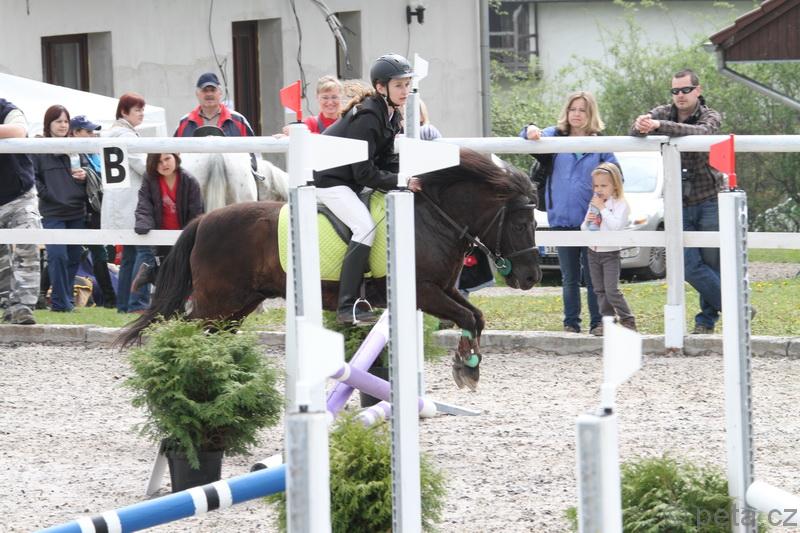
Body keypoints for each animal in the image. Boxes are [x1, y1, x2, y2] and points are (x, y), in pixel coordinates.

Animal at [117, 149, 542, 390]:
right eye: (522, 223)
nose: (531, 278)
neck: (433, 216)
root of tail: (204, 220)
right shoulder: (425, 291)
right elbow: (468, 318)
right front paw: (466, 368)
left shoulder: (442, 288)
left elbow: (476, 316)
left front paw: (468, 365)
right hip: (217, 303)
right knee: (186, 332)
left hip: (237, 306)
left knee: (213, 338)